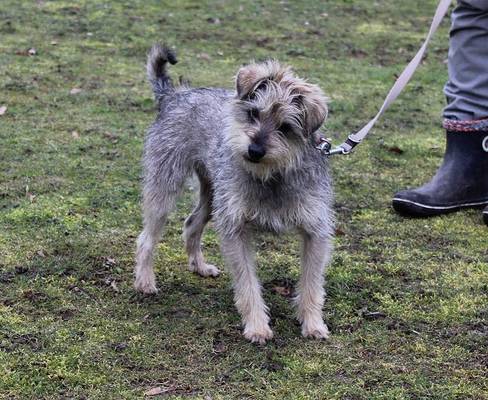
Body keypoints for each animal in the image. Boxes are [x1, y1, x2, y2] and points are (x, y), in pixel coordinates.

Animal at [134, 44, 335, 343]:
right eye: (254, 114)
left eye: (286, 127)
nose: (254, 150)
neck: (272, 175)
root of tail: (173, 95)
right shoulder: (235, 229)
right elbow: (247, 283)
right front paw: (257, 326)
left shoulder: (315, 232)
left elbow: (311, 284)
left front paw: (312, 323)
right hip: (165, 189)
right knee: (147, 238)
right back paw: (145, 281)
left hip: (213, 196)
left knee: (191, 223)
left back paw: (199, 266)